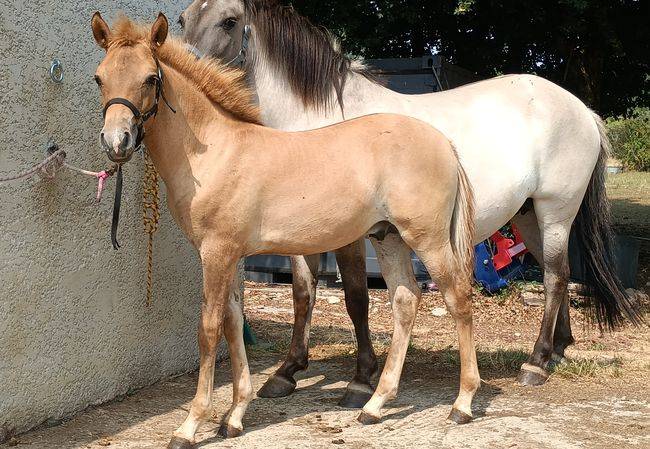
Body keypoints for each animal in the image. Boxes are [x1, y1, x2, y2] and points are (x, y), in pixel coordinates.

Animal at [91, 12, 478, 448]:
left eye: (150, 79)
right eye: (100, 78)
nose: (116, 142)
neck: (216, 150)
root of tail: (444, 143)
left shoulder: (217, 253)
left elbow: (209, 329)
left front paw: (190, 426)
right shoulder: (230, 256)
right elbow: (232, 322)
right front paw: (234, 416)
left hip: (428, 240)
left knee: (459, 299)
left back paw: (462, 403)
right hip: (389, 237)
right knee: (405, 301)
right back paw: (375, 405)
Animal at [178, 0, 641, 405]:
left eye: (230, 21)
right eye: (182, 18)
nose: (185, 68)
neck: (318, 123)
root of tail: (582, 110)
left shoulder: (349, 235)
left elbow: (355, 298)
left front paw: (362, 380)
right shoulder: (301, 233)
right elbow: (303, 295)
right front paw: (287, 372)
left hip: (556, 210)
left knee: (556, 277)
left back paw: (537, 362)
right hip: (528, 214)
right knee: (553, 274)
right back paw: (559, 349)